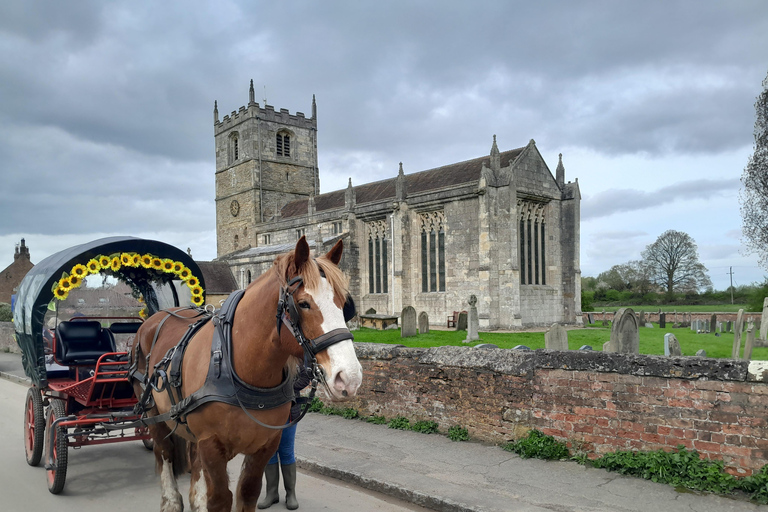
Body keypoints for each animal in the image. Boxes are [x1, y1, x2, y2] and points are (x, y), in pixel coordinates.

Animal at [130, 239, 364, 512]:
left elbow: (248, 492)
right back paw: (171, 501)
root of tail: (156, 316)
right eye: (303, 303)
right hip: (153, 413)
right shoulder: (211, 445)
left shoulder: (265, 445)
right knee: (163, 451)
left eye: (344, 303)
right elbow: (220, 499)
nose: (350, 377)